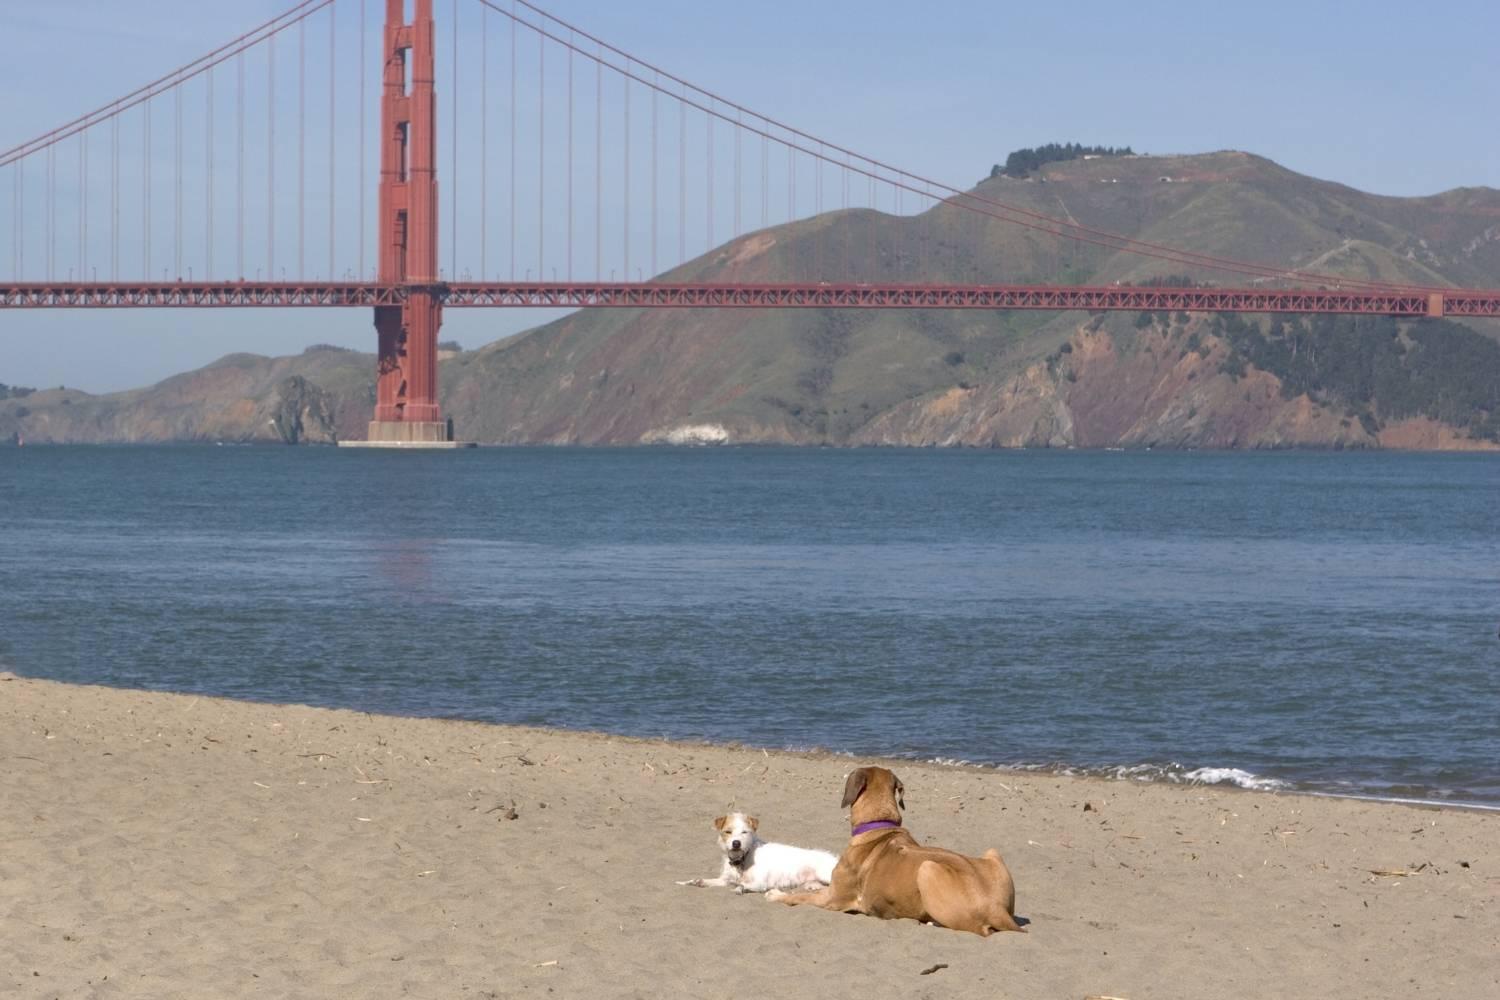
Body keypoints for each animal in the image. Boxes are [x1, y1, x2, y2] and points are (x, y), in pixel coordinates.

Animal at [675, 815, 840, 893]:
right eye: (728, 832)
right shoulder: (723, 879)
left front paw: (741, 888)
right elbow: (711, 881)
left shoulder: (760, 883)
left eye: (744, 832)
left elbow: (742, 883)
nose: (736, 843)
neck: (742, 859)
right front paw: (697, 881)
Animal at [774, 767, 1020, 941]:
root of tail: (996, 909)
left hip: (927, 869)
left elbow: (798, 897)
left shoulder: (833, 899)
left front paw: (777, 895)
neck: (879, 824)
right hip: (993, 852)